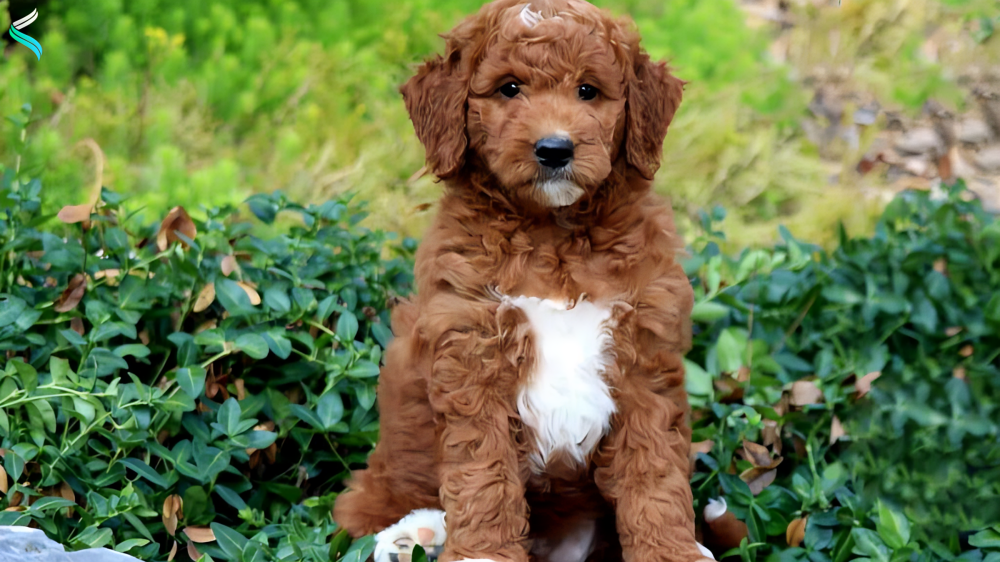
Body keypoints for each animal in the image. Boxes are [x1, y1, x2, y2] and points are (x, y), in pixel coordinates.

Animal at [332, 1, 708, 560]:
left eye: (588, 90)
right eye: (509, 88)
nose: (554, 149)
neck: (553, 231)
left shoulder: (645, 358)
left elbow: (654, 470)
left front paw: (671, 551)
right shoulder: (471, 353)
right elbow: (483, 471)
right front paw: (483, 552)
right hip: (388, 475)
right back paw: (412, 535)